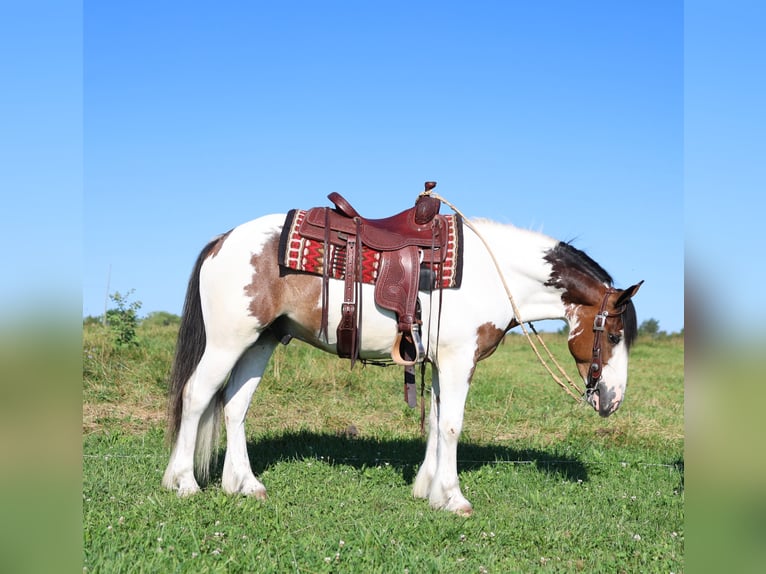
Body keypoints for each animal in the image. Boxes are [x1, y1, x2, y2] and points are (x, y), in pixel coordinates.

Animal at [162, 202, 642, 516]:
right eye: (616, 335)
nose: (612, 399)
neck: (492, 272)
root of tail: (222, 240)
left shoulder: (440, 364)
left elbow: (435, 422)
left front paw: (428, 490)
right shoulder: (458, 362)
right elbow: (452, 426)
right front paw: (454, 498)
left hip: (259, 342)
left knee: (234, 407)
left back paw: (243, 485)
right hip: (227, 342)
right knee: (197, 395)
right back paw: (183, 482)